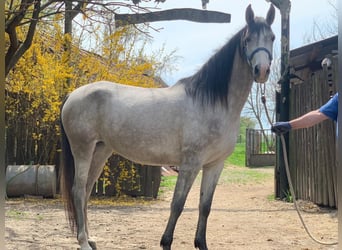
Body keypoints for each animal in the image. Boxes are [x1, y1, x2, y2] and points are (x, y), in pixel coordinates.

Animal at [60, 4, 276, 250]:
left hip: (101, 150)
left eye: (272, 37)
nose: (262, 71)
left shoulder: (215, 165)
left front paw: (201, 244)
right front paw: (166, 242)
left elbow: (205, 207)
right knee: (78, 191)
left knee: (87, 190)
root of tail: (72, 95)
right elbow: (178, 204)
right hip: (83, 150)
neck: (213, 103)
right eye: (248, 39)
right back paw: (83, 242)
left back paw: (91, 238)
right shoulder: (190, 164)